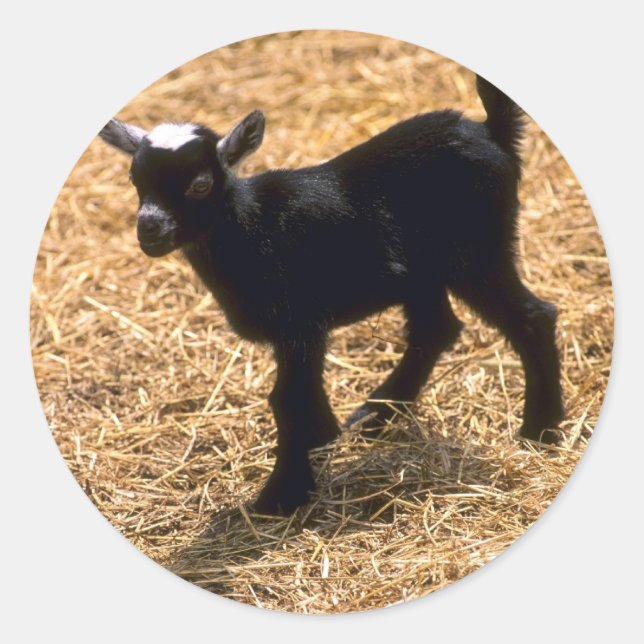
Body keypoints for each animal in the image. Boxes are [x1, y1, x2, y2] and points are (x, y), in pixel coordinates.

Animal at [98, 74, 564, 514]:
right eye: (134, 179)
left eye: (199, 184)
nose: (149, 229)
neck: (251, 227)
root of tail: (491, 132)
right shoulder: (304, 331)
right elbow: (300, 398)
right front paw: (322, 441)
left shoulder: (299, 322)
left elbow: (289, 401)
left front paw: (282, 495)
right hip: (424, 272)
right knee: (436, 329)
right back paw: (376, 414)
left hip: (478, 251)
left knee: (531, 317)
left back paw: (541, 430)